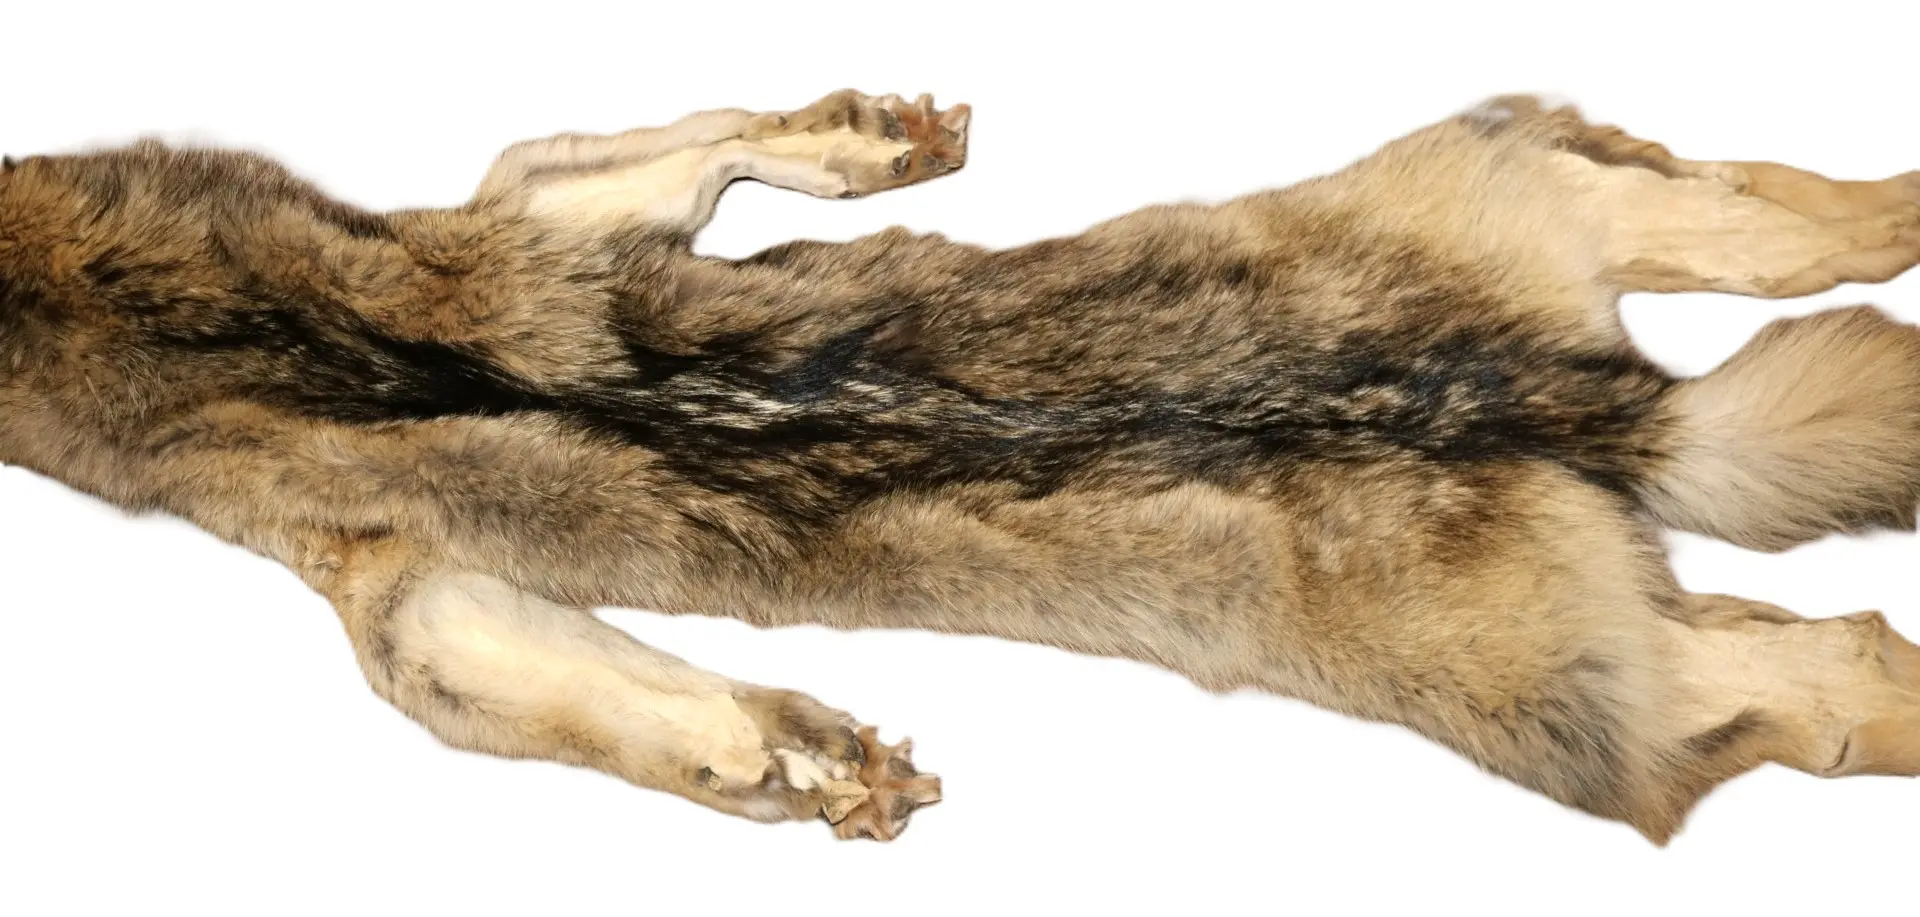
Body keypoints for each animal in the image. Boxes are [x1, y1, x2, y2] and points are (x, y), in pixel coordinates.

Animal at [2, 90, 1916, 842]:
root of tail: (1594, 413)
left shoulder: (394, 549)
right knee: (1769, 254)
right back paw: (1893, 207)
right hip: (1522, 217)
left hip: (1561, 698)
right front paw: (829, 762)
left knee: (1820, 685)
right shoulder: (510, 251)